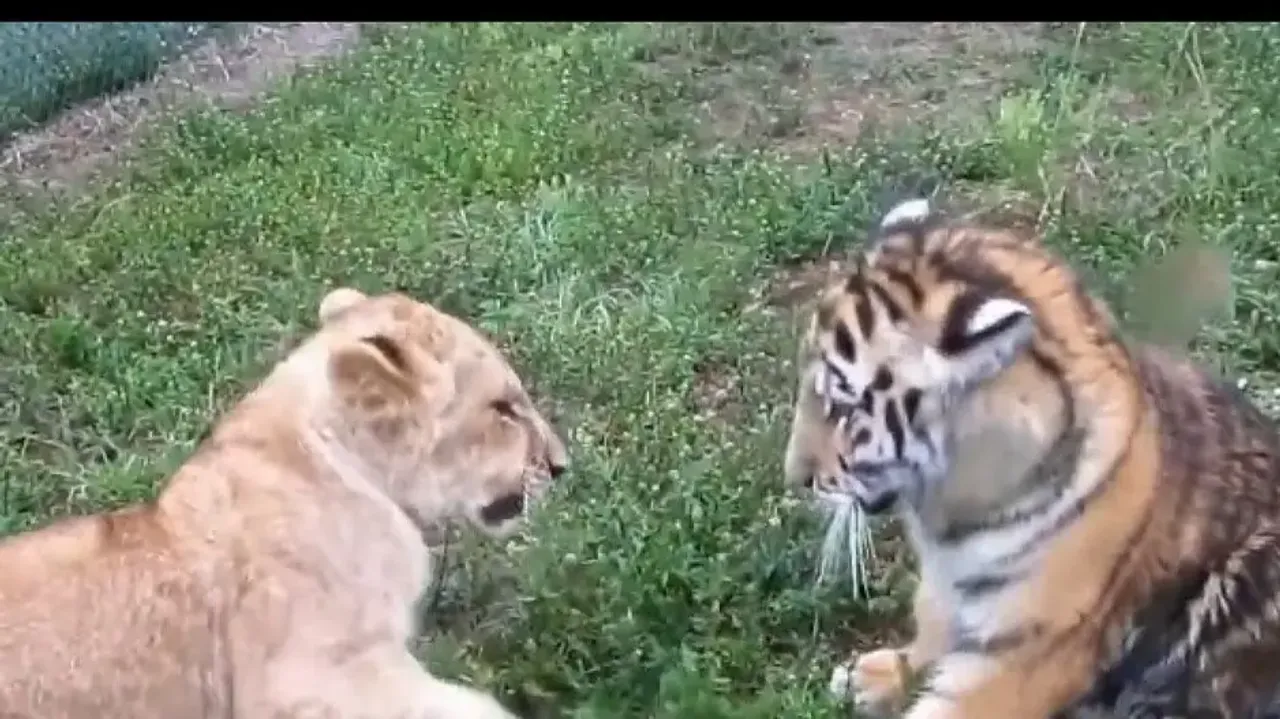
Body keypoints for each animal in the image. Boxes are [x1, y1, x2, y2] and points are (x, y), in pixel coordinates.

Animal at [782, 195, 1280, 718]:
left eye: (843, 407)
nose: (796, 478)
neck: (949, 514)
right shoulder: (945, 586)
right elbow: (933, 623)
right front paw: (880, 674)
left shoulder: (1025, 656)